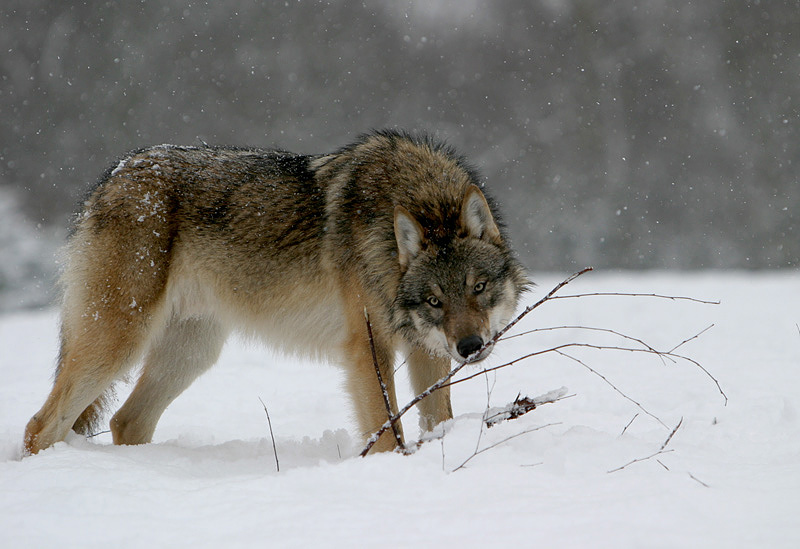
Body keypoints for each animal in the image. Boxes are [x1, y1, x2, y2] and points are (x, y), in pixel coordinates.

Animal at [21, 128, 528, 454]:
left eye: (478, 287)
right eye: (435, 301)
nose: (470, 346)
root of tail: (110, 178)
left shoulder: (426, 351)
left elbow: (438, 419)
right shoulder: (368, 348)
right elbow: (386, 433)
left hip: (191, 353)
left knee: (126, 421)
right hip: (118, 344)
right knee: (39, 426)